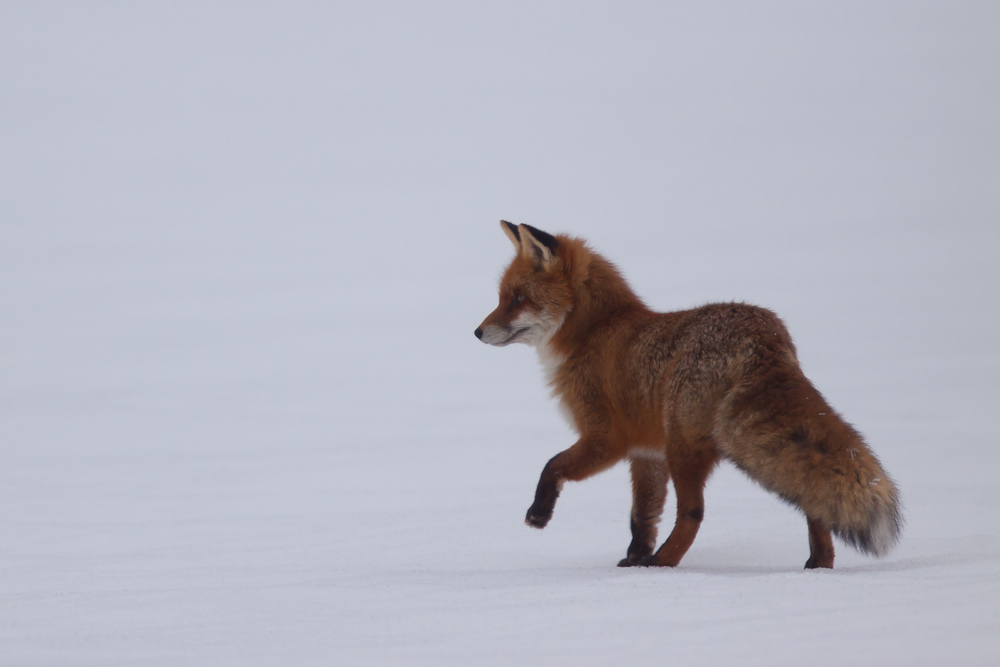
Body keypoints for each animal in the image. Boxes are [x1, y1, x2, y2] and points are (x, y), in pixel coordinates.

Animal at [472, 223, 904, 568]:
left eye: (517, 298)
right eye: (502, 297)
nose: (476, 332)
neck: (594, 332)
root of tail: (765, 332)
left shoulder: (606, 438)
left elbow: (552, 465)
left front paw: (540, 513)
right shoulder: (646, 454)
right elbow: (642, 517)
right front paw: (633, 560)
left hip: (682, 444)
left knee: (694, 514)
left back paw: (663, 564)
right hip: (685, 447)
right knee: (812, 500)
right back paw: (818, 565)